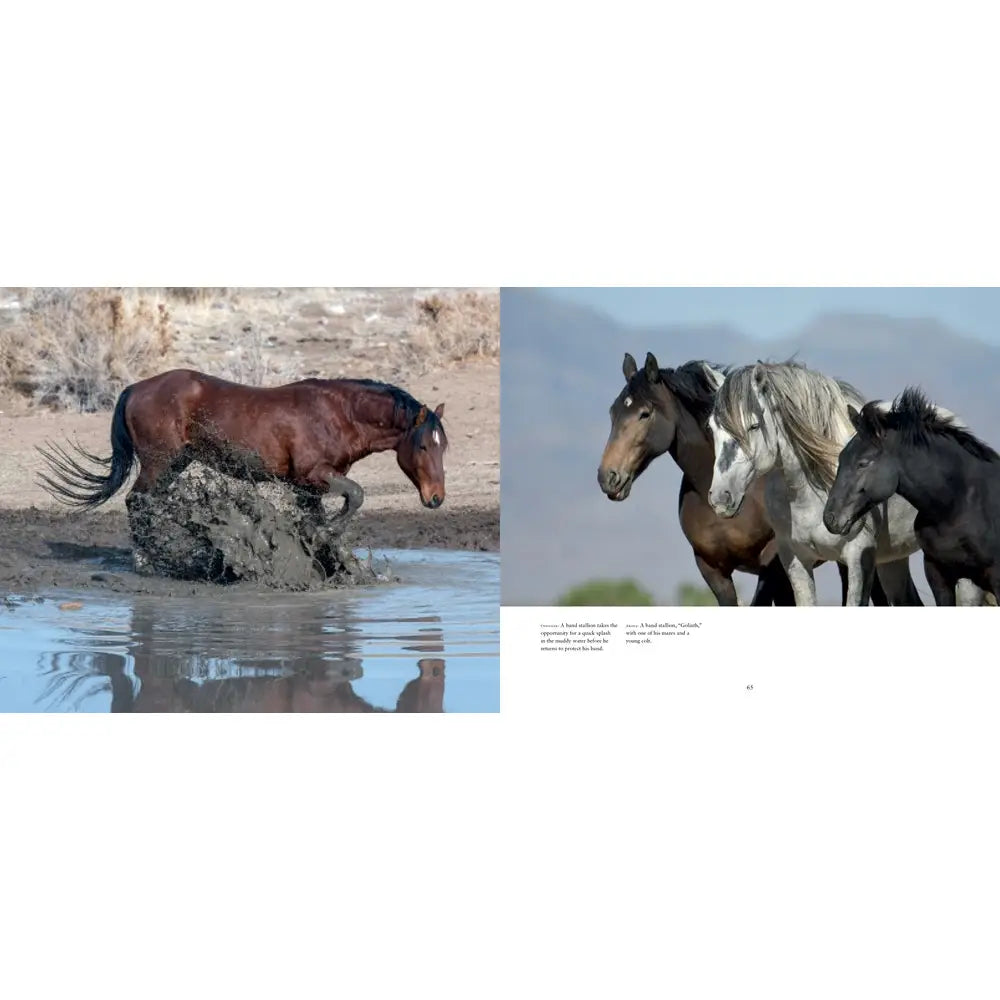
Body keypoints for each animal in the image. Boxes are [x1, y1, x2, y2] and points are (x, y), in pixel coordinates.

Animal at [36, 369, 448, 522]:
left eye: (443, 446)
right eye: (424, 447)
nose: (436, 498)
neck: (338, 413)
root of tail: (134, 388)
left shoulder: (310, 486)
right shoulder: (313, 475)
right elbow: (357, 495)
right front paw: (333, 529)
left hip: (174, 465)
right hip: (157, 464)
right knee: (137, 502)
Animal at [706, 360, 935, 607]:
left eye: (754, 426)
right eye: (712, 427)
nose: (720, 498)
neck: (809, 495)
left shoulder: (858, 556)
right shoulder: (795, 559)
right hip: (892, 559)